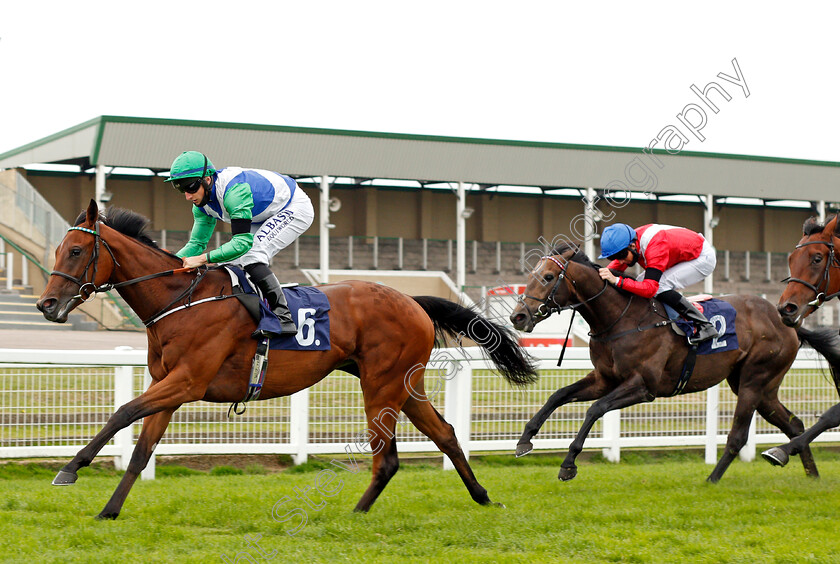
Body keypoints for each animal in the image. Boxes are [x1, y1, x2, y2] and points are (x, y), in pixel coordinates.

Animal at [36, 199, 536, 520]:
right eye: (57, 249)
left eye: (76, 251)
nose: (45, 305)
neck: (180, 300)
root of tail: (411, 300)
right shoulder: (170, 387)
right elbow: (141, 452)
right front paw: (109, 510)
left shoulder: (187, 381)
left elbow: (121, 413)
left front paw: (69, 469)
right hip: (403, 384)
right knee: (445, 434)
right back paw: (482, 497)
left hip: (381, 384)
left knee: (388, 456)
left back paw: (356, 512)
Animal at [508, 243, 840, 484]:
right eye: (529, 276)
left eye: (548, 277)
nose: (518, 316)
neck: (621, 318)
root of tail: (787, 320)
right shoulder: (604, 378)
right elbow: (558, 395)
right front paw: (525, 440)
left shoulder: (643, 386)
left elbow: (595, 409)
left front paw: (568, 464)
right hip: (761, 387)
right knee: (793, 424)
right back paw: (808, 473)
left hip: (754, 380)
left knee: (738, 436)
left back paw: (712, 480)